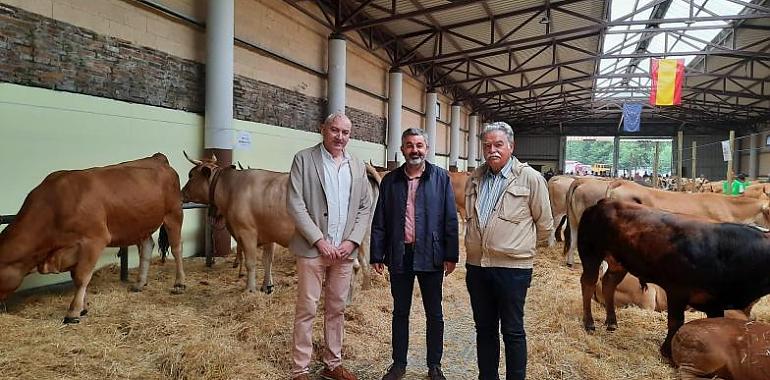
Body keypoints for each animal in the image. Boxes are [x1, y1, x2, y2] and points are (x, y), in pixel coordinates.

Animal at [0, 153, 185, 322]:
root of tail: (157, 158)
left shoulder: (94, 239)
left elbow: (82, 276)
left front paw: (73, 312)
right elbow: (77, 276)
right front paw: (82, 307)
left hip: (174, 213)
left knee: (177, 248)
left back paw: (179, 283)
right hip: (140, 224)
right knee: (147, 247)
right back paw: (140, 284)